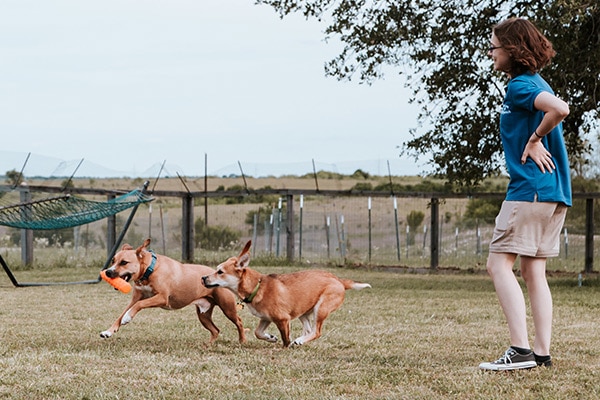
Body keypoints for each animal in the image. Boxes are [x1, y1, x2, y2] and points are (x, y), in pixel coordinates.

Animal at [101, 238, 246, 344]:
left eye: (124, 262)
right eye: (113, 261)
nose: (108, 272)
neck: (150, 270)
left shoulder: (161, 298)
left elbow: (139, 305)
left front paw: (127, 318)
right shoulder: (135, 298)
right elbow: (121, 314)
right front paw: (108, 331)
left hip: (227, 308)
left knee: (239, 322)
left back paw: (242, 340)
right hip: (203, 315)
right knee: (215, 330)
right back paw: (209, 344)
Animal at [202, 241, 370, 346]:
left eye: (220, 272)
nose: (203, 278)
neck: (257, 286)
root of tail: (339, 280)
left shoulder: (282, 319)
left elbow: (285, 338)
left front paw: (284, 345)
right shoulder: (266, 318)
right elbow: (257, 332)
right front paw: (270, 337)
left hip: (321, 308)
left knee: (317, 331)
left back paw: (300, 341)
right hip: (304, 311)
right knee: (309, 329)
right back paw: (301, 340)